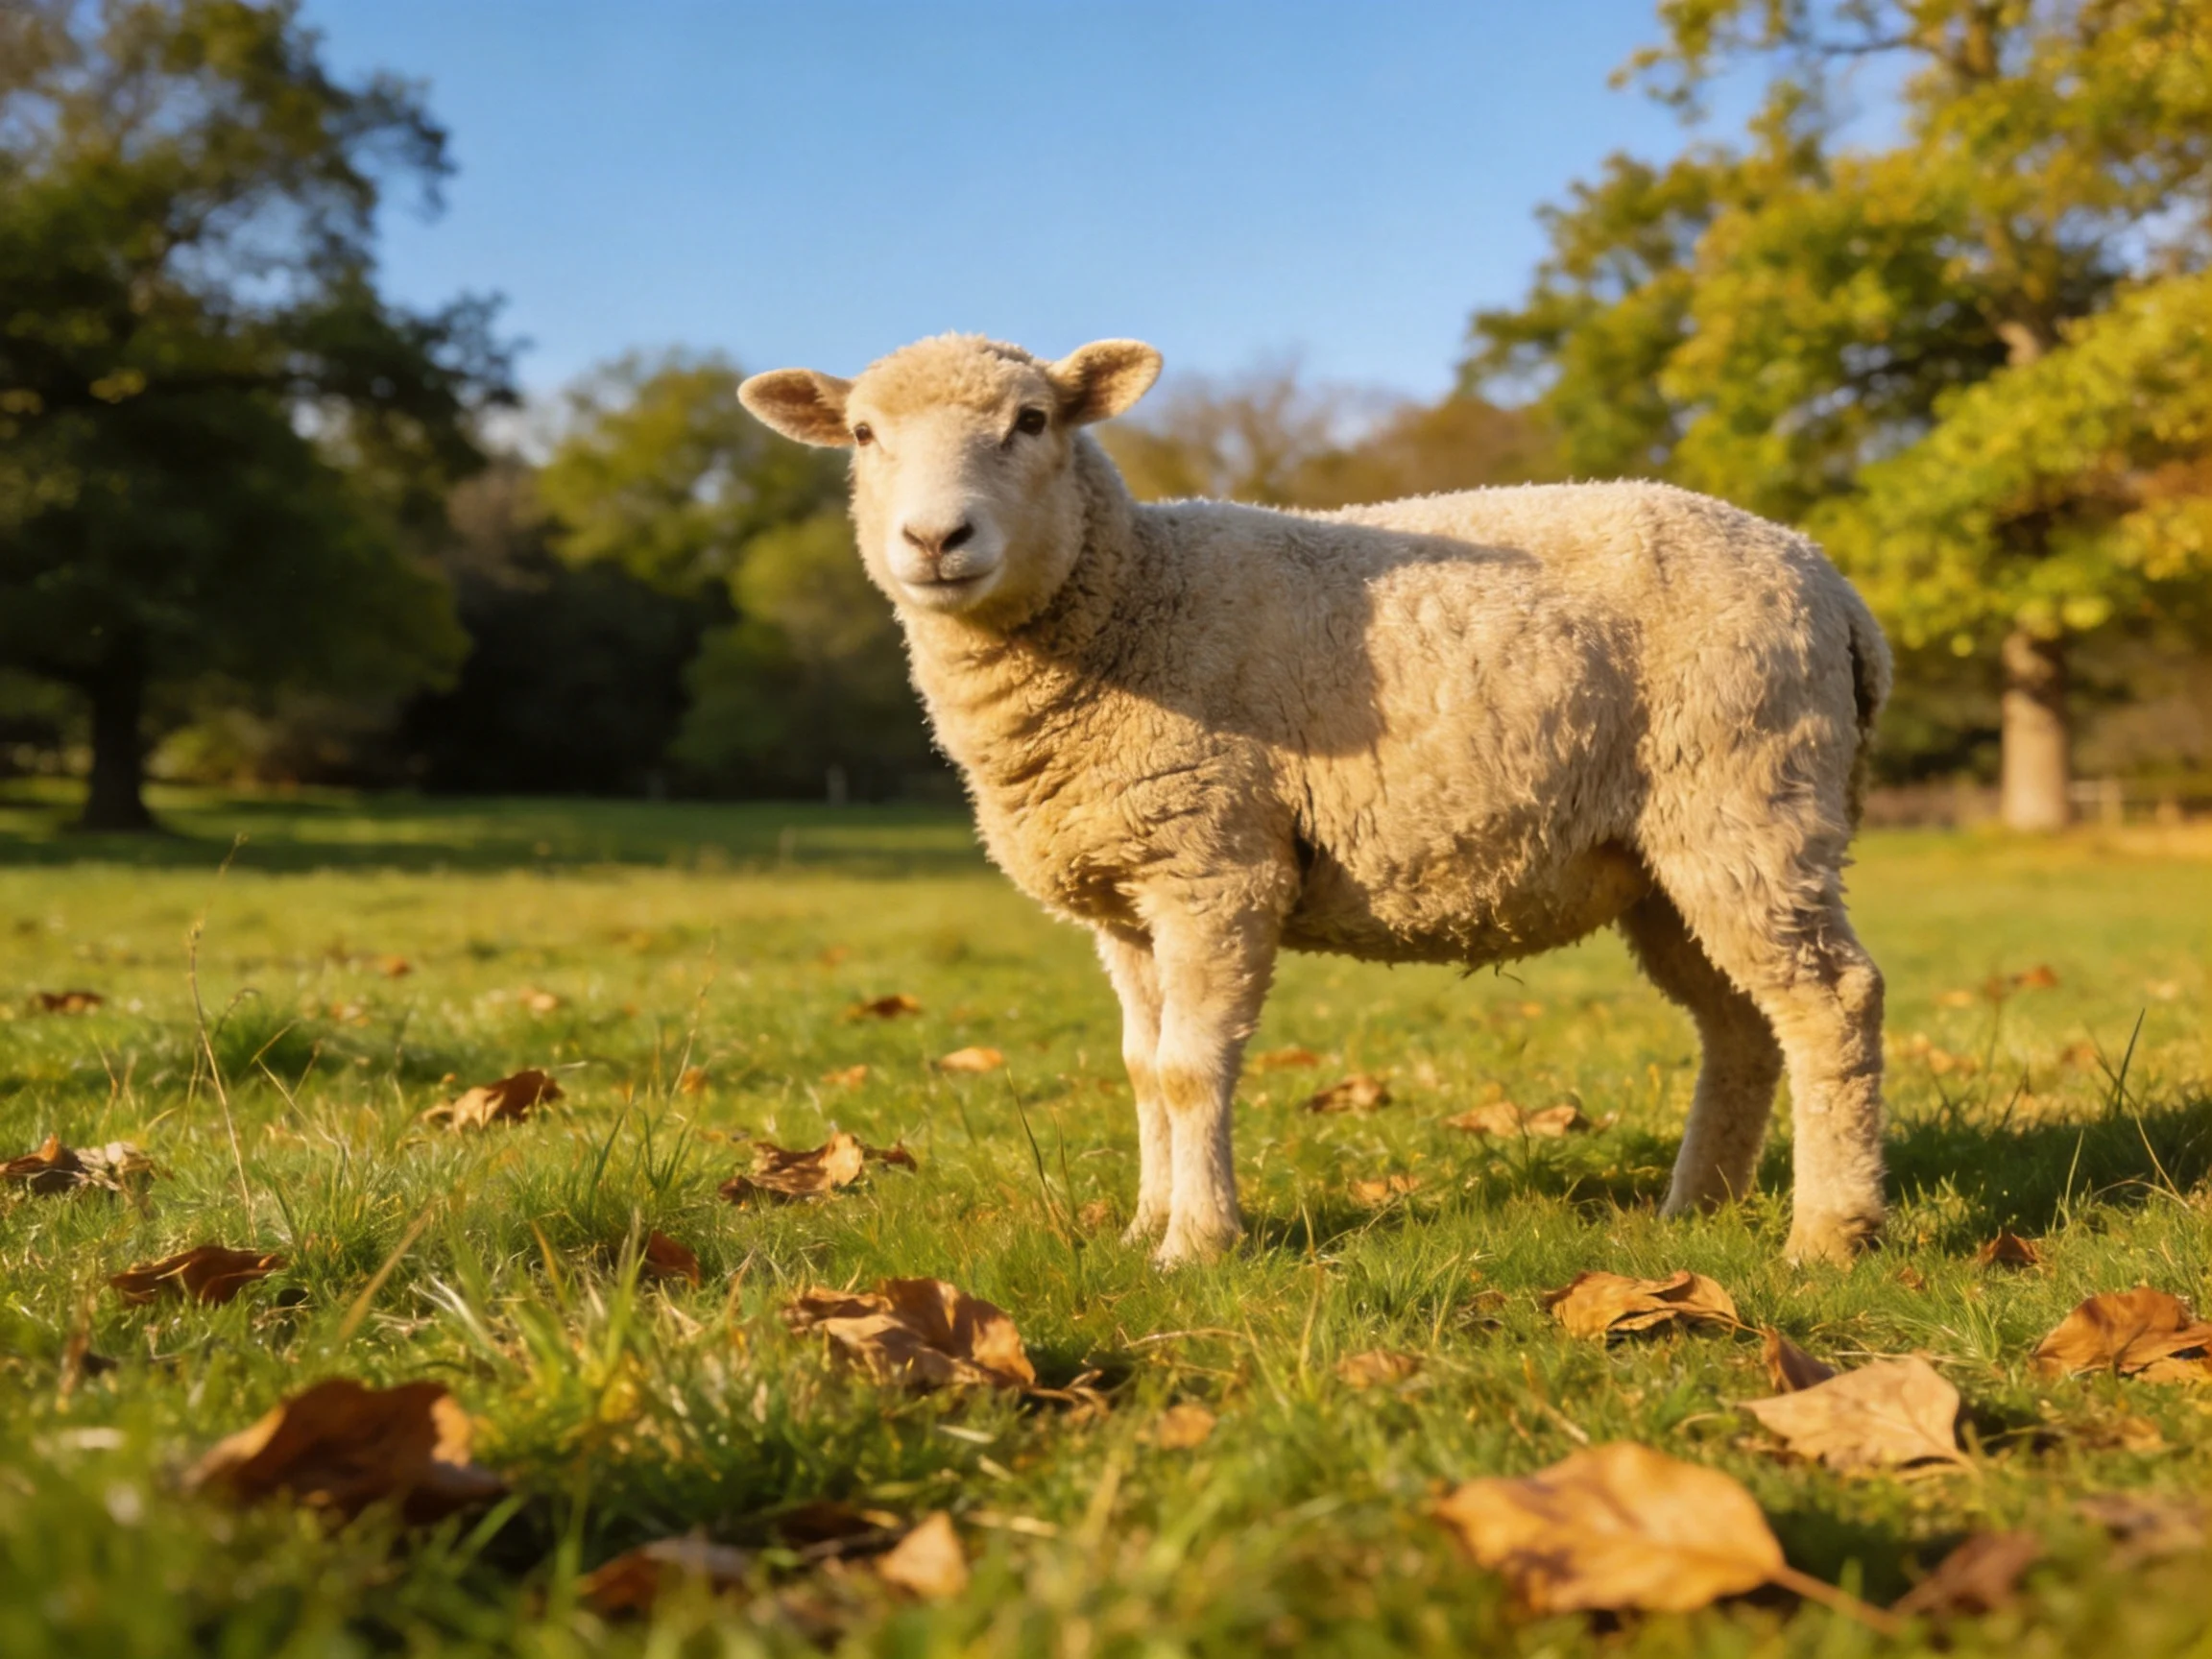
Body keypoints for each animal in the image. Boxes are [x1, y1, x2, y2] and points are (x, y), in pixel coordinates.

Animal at [740, 333, 1892, 1268]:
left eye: (1032, 422)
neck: (1134, 595)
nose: (936, 541)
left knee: (1833, 1000)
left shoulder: (1214, 864)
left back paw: (1828, 1233)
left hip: (1747, 794)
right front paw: (1143, 1228)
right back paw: (1700, 1210)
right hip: (1667, 854)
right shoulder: (1126, 895)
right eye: (862, 433)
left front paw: (1198, 1245)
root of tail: (1832, 585)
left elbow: (1192, 1069)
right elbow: (1141, 1070)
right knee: (1742, 1027)